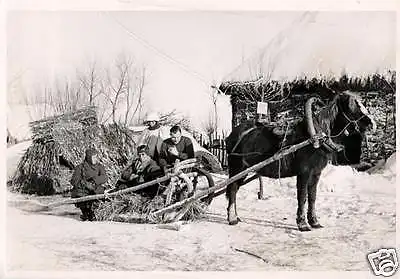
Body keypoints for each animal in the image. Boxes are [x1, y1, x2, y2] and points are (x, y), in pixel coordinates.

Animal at [227, 92, 376, 232]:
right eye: (352, 106)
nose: (372, 124)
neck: (316, 137)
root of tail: (233, 134)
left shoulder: (316, 173)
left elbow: (312, 196)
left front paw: (314, 221)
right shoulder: (304, 173)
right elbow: (302, 196)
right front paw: (302, 224)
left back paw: (236, 216)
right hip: (237, 168)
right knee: (233, 189)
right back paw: (232, 218)